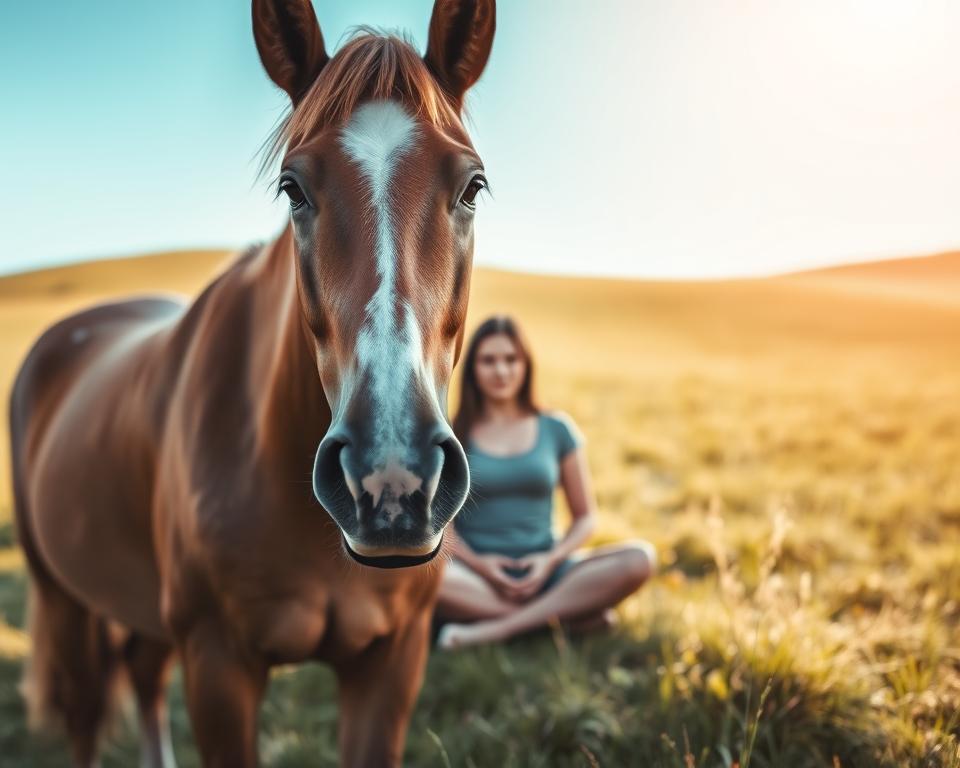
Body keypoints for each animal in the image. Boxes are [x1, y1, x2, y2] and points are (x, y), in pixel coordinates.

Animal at [8, 1, 495, 765]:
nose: (391, 481)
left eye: (472, 185)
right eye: (293, 187)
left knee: (143, 674)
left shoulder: (392, 661)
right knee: (86, 710)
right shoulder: (218, 665)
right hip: (67, 597)